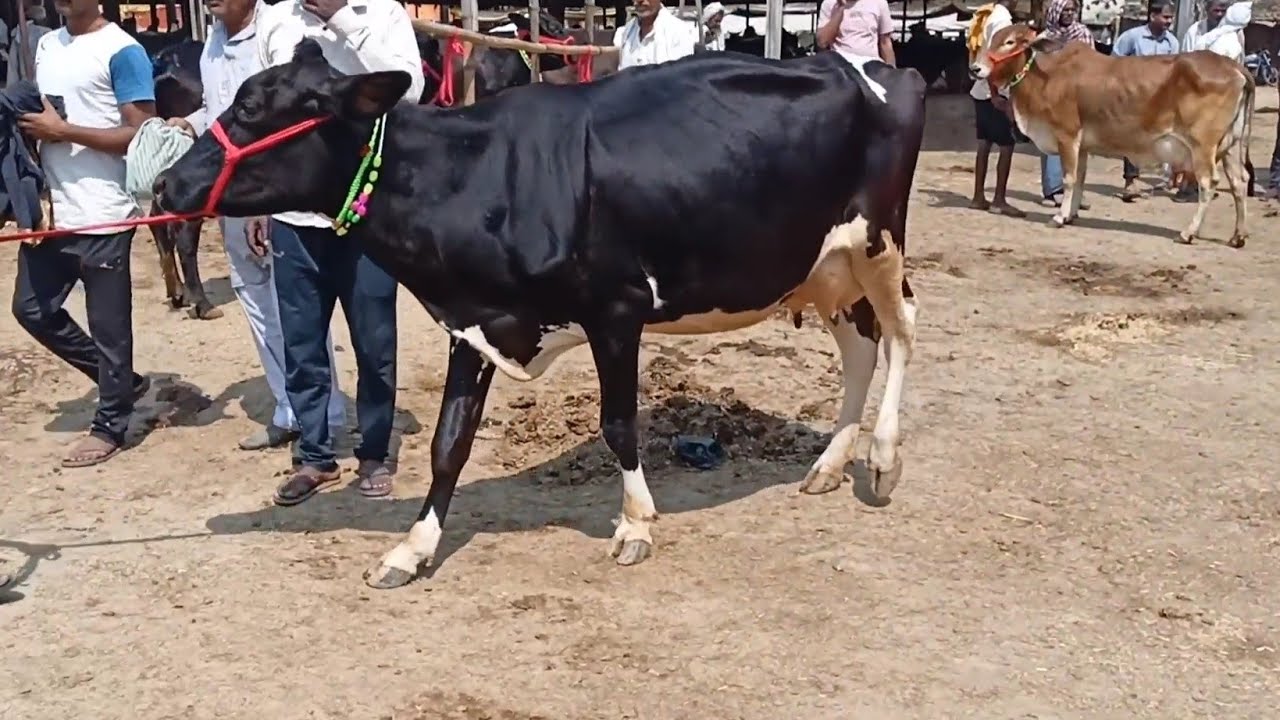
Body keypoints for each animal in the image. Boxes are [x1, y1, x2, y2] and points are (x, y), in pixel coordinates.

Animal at [153, 39, 926, 590]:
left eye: (255, 110)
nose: (165, 183)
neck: (476, 173)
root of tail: (870, 64)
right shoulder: (474, 324)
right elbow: (448, 443)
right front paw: (412, 548)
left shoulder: (616, 308)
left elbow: (619, 424)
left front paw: (635, 525)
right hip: (823, 264)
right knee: (860, 346)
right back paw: (829, 463)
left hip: (880, 239)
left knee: (901, 335)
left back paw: (882, 459)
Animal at [970, 23, 1254, 247]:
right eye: (992, 38)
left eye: (1010, 42)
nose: (975, 68)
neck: (1045, 77)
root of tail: (1234, 66)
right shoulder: (1082, 145)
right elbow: (1080, 178)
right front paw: (1071, 214)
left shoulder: (1067, 135)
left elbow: (1069, 178)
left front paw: (1060, 217)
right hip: (1230, 146)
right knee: (1239, 182)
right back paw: (1238, 236)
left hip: (1202, 146)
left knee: (1208, 184)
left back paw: (1188, 233)